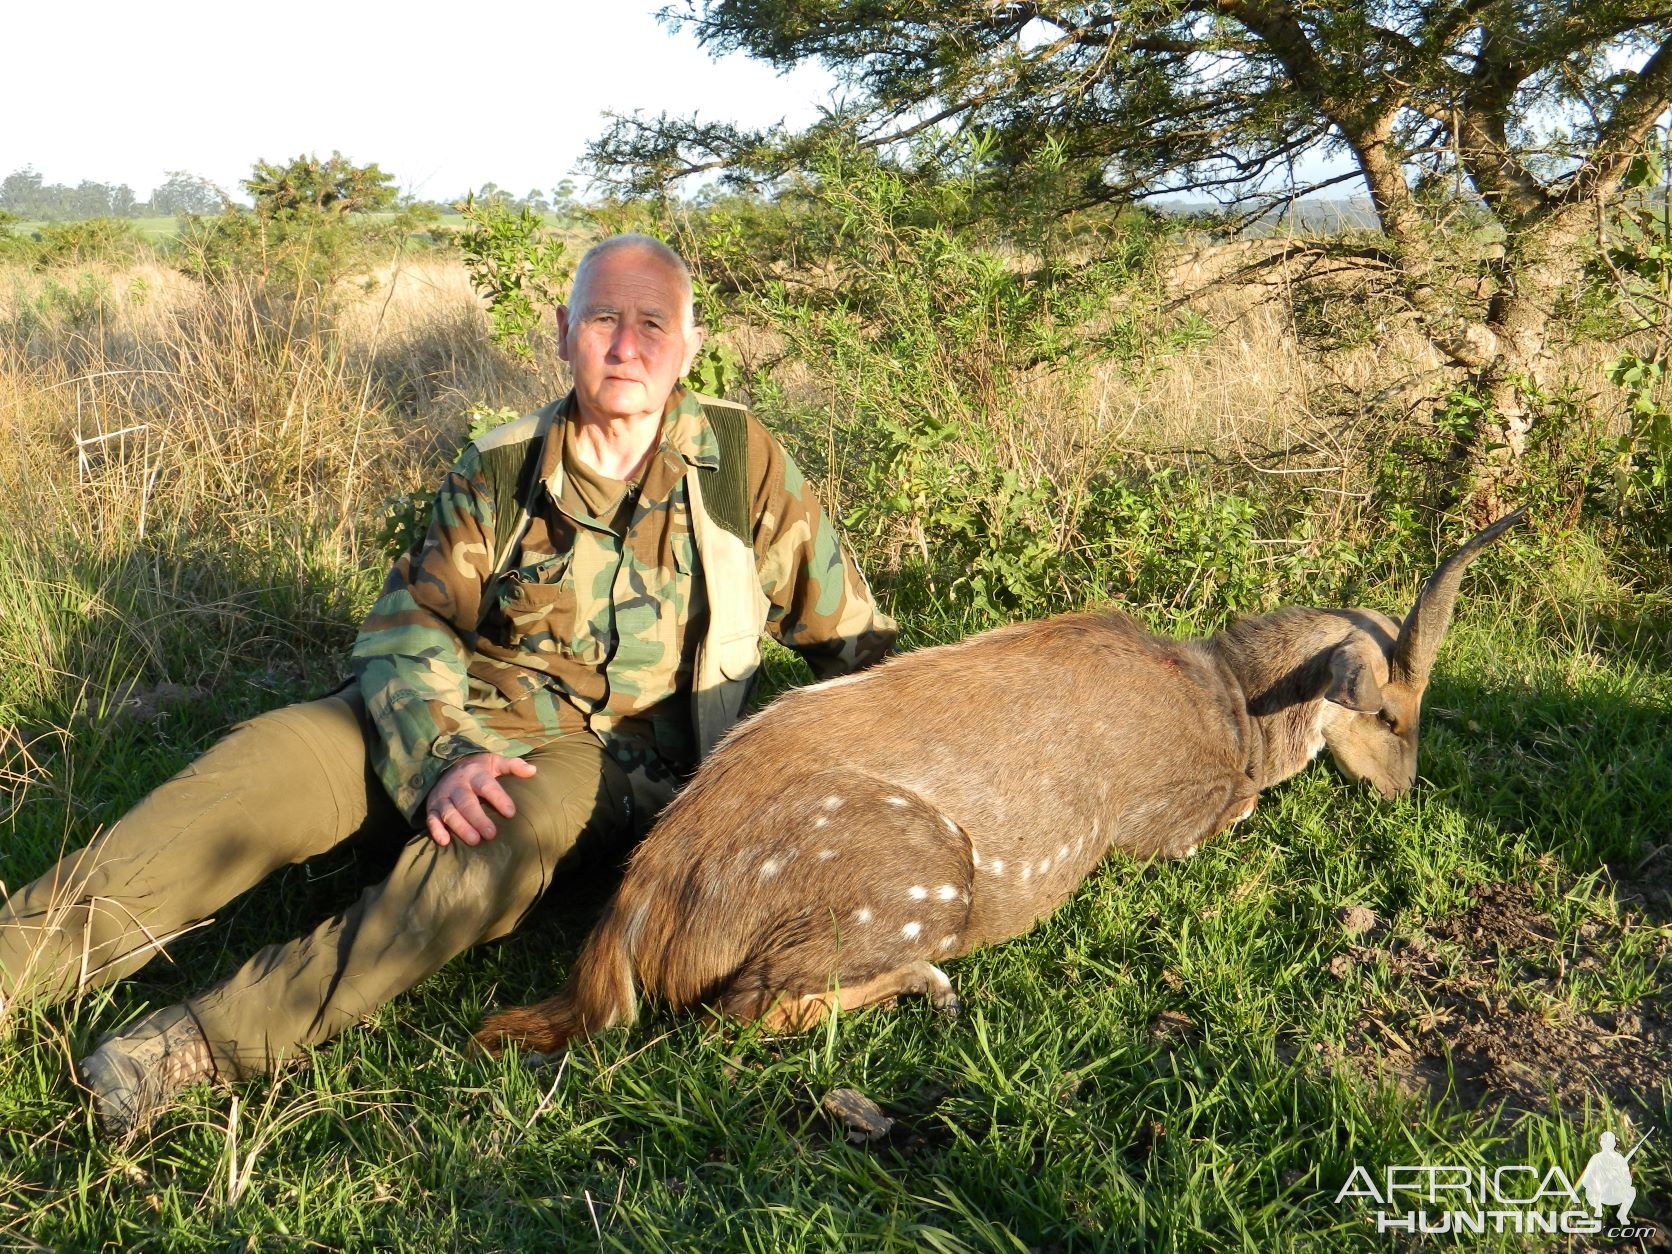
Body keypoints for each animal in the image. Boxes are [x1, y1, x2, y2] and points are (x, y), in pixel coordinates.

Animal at [474, 504, 1531, 1056]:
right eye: (1391, 712)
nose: (1402, 793)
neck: (1231, 705)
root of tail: (638, 907)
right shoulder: (1170, 828)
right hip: (925, 878)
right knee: (745, 1016)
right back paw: (931, 986)